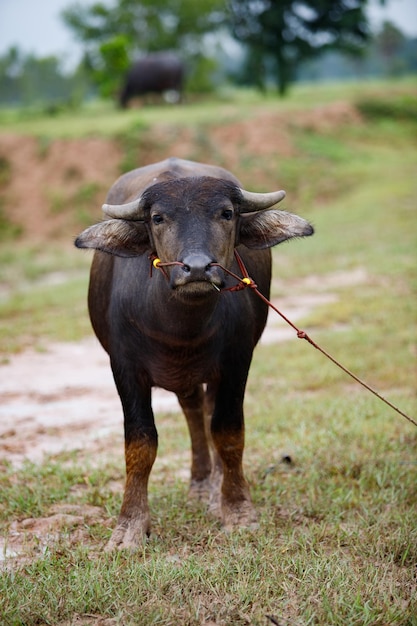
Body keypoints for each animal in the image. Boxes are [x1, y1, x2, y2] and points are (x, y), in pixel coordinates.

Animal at [75, 157, 312, 552]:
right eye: (158, 218)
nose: (198, 268)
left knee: (207, 411)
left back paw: (212, 490)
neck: (181, 329)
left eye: (227, 213)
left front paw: (237, 510)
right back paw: (200, 485)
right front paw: (129, 528)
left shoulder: (236, 361)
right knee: (191, 410)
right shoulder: (124, 367)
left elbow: (228, 433)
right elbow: (140, 443)